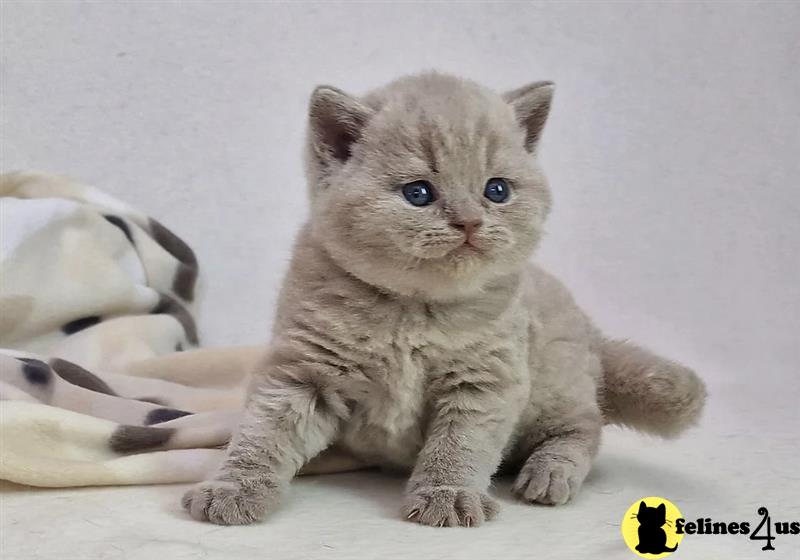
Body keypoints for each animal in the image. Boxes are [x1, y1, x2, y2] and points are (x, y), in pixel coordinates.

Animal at [181, 72, 708, 528]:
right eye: (419, 193)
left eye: (497, 190)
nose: (470, 221)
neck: (413, 311)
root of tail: (590, 329)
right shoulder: (305, 370)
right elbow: (263, 432)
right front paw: (233, 488)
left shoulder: (485, 380)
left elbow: (461, 445)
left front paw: (448, 495)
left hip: (555, 387)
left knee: (583, 428)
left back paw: (549, 473)